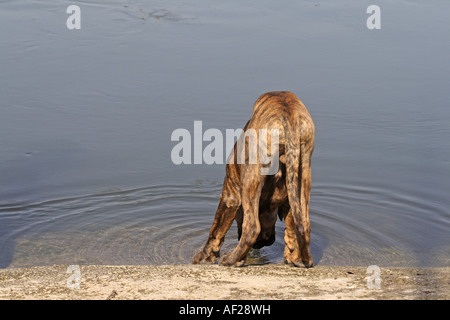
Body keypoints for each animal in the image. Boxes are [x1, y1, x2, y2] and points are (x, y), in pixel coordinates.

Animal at [192, 90, 314, 268]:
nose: (264, 244)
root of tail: (288, 113)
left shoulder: (231, 195)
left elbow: (215, 230)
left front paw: (204, 256)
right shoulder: (288, 202)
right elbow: (291, 230)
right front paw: (293, 257)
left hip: (251, 178)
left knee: (252, 228)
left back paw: (231, 259)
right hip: (303, 176)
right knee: (304, 224)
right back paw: (305, 259)